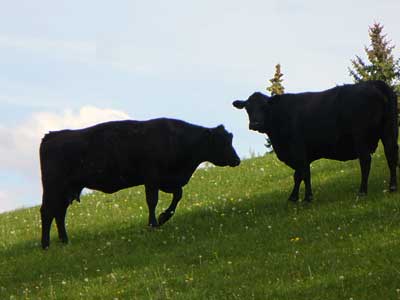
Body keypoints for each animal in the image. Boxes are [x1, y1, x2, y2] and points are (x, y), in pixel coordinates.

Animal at [39, 118, 241, 250]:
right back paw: (46, 244)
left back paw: (64, 240)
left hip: (67, 190)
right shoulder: (152, 179)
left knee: (59, 213)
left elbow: (178, 195)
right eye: (223, 142)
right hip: (54, 187)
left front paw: (163, 217)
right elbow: (152, 201)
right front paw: (153, 223)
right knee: (47, 212)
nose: (237, 160)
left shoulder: (168, 181)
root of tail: (51, 136)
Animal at [233, 79, 398, 202]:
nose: (255, 123)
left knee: (365, 161)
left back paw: (362, 191)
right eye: (247, 108)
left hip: (360, 137)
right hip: (389, 130)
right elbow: (298, 175)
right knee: (391, 155)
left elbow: (304, 174)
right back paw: (392, 187)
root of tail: (374, 83)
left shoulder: (299, 149)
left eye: (264, 107)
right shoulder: (300, 155)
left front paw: (307, 198)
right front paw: (293, 198)